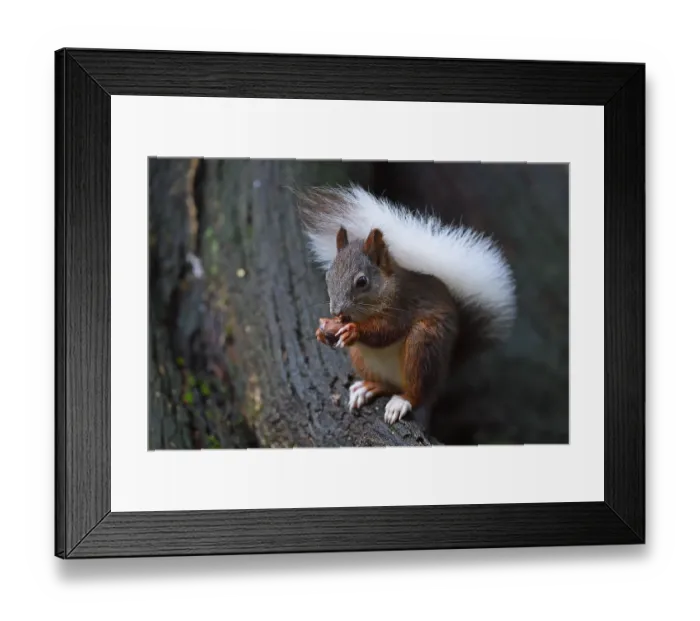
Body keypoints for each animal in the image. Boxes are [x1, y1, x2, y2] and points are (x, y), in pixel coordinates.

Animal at [296, 184, 517, 426]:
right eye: (329, 276)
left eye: (362, 281)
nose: (336, 311)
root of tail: (446, 370)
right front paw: (322, 330)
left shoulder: (403, 305)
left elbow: (386, 331)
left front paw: (354, 330)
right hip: (362, 358)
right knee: (386, 385)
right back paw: (368, 387)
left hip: (423, 346)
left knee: (418, 393)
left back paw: (402, 401)